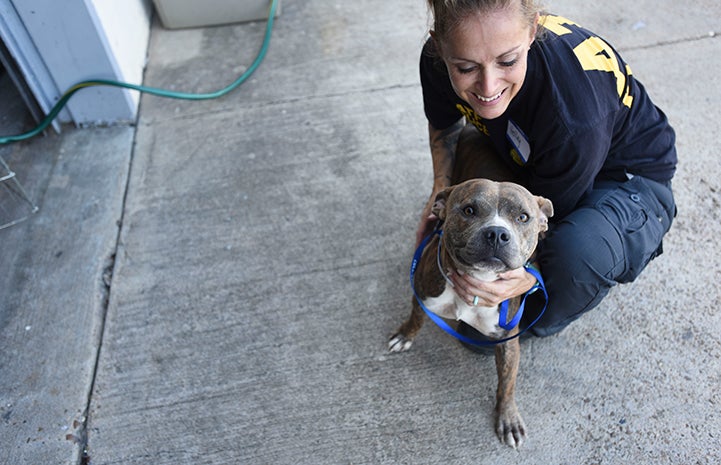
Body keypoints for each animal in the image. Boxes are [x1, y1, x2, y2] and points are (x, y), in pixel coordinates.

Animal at [388, 178, 552, 446]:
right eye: (469, 210)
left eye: (522, 217)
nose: (497, 233)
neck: (477, 282)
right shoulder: (422, 295)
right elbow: (416, 318)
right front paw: (404, 336)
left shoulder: (508, 340)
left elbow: (507, 383)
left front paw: (508, 418)